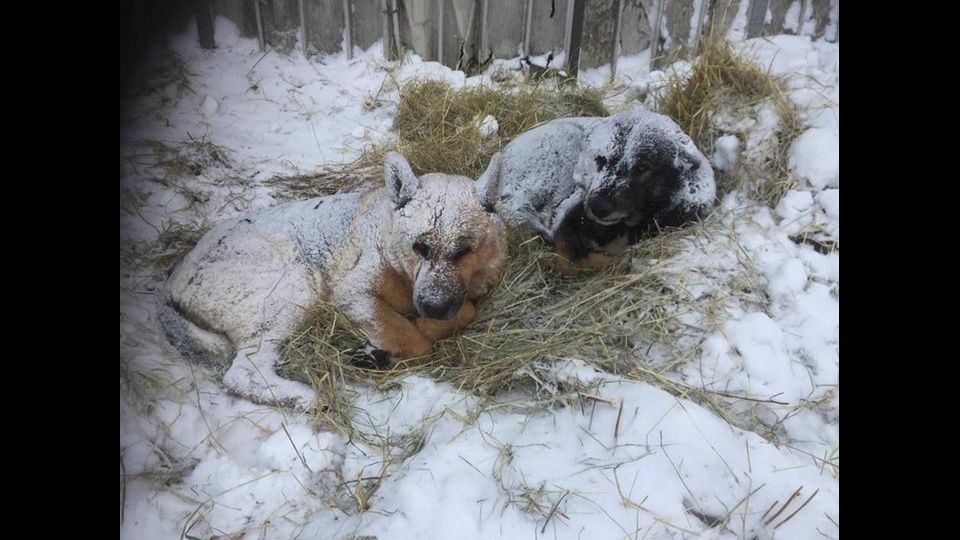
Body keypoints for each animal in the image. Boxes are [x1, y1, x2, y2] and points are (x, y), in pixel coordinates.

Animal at [158, 154, 510, 408]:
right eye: (420, 247)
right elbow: (415, 340)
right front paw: (397, 343)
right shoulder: (353, 293)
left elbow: (466, 311)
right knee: (244, 372)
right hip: (292, 286)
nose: (434, 308)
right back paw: (309, 398)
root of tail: (173, 281)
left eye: (462, 251)